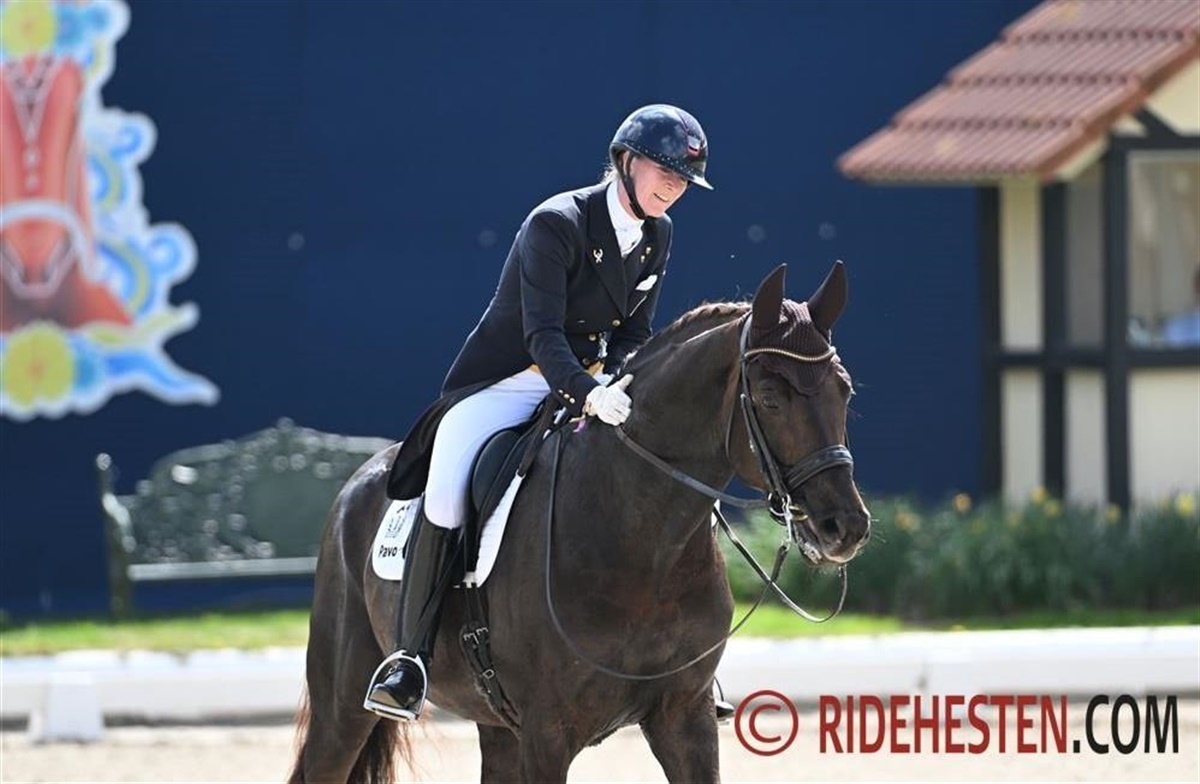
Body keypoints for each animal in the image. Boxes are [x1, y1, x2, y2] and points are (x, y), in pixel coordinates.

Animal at [289, 262, 871, 783]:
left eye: (845, 390)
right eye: (770, 399)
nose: (844, 527)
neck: (643, 541)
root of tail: (359, 479)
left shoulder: (685, 717)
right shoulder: (548, 731)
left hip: (496, 726)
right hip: (343, 708)